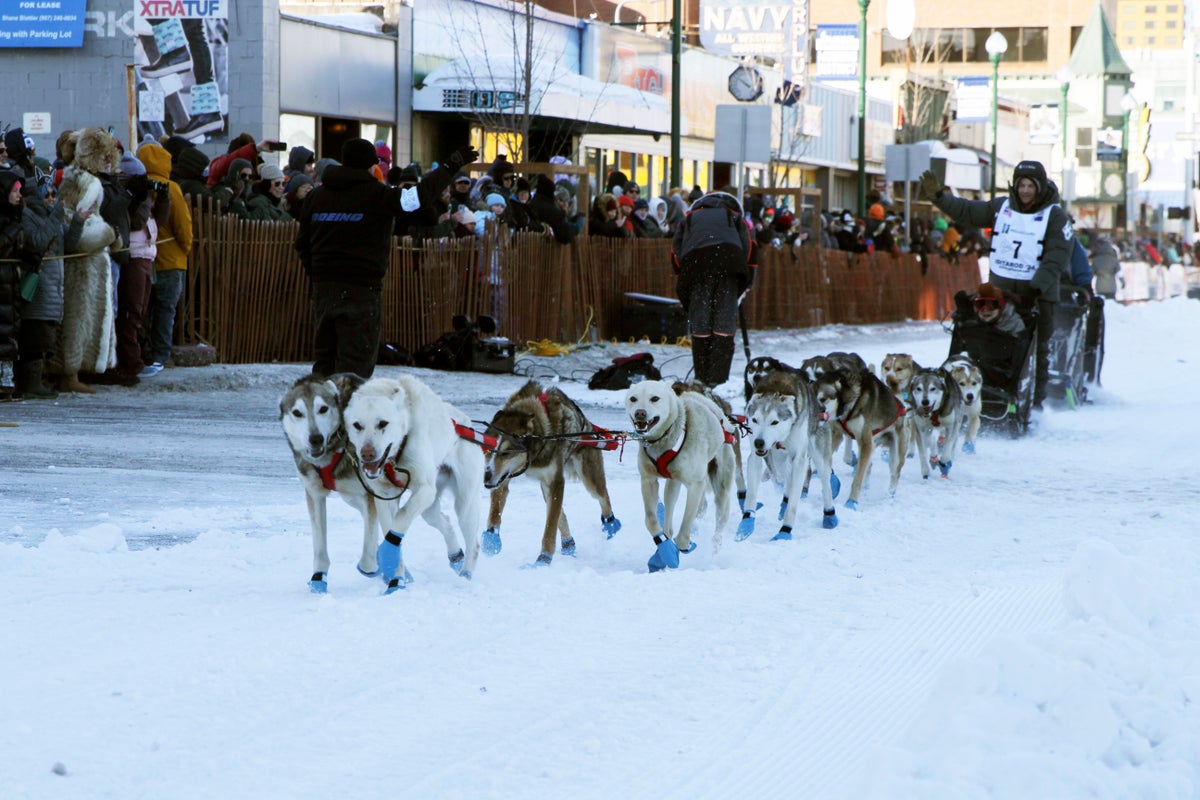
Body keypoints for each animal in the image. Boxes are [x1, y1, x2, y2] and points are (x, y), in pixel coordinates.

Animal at [278, 371, 381, 592]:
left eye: (323, 409)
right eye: (297, 412)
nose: (315, 438)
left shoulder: (369, 495)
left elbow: (368, 559)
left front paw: (375, 566)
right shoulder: (314, 493)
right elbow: (319, 546)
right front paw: (319, 578)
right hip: (350, 497)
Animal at [343, 376, 482, 594]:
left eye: (383, 423)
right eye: (357, 425)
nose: (367, 454)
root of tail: (467, 424)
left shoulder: (425, 489)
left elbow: (401, 519)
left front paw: (388, 554)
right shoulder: (384, 496)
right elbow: (390, 528)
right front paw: (396, 581)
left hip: (464, 503)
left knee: (473, 544)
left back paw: (466, 575)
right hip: (431, 507)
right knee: (442, 520)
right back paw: (455, 555)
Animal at [482, 381, 624, 563]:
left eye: (507, 452)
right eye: (487, 448)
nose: (486, 478)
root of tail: (589, 425)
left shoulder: (555, 481)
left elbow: (550, 525)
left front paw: (544, 558)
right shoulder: (503, 477)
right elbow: (495, 510)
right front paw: (491, 540)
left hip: (589, 478)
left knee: (603, 497)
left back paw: (611, 525)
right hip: (545, 486)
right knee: (559, 512)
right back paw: (568, 543)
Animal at [624, 381, 734, 573]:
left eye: (654, 398)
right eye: (633, 398)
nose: (640, 413)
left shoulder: (696, 485)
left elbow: (685, 531)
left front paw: (681, 547)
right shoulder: (648, 481)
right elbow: (651, 520)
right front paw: (665, 550)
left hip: (721, 484)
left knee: (720, 520)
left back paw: (714, 549)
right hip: (672, 485)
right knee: (668, 518)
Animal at [734, 371, 840, 537]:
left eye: (774, 422)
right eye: (755, 420)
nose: (759, 442)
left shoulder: (799, 460)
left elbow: (793, 505)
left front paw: (785, 531)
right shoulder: (757, 457)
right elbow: (751, 496)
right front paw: (746, 522)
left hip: (817, 456)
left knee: (825, 483)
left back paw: (830, 516)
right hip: (780, 460)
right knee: (785, 479)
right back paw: (783, 504)